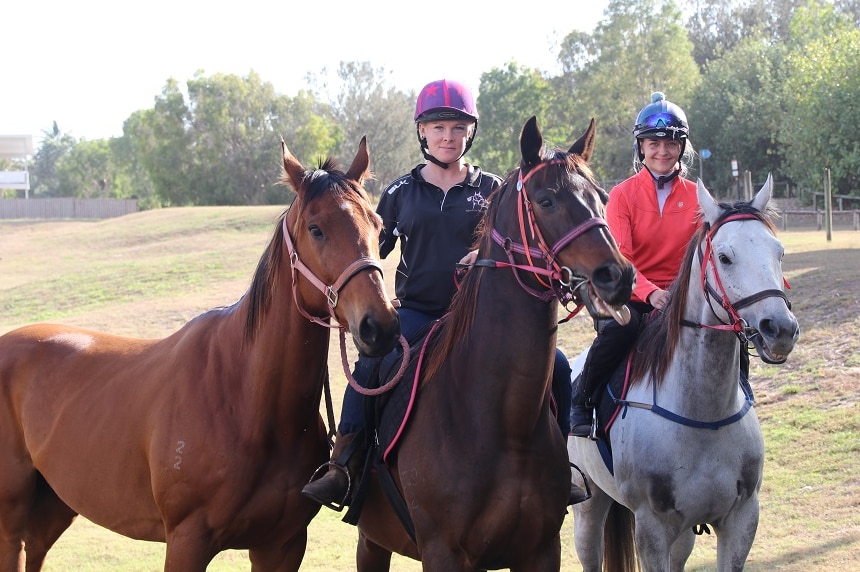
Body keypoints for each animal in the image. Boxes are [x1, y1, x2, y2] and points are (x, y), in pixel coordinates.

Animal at [0, 139, 402, 572]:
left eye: (378, 226)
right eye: (316, 228)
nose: (379, 325)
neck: (245, 400)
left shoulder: (282, 545)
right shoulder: (187, 542)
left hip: (54, 507)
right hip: (12, 515)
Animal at [352, 117, 636, 572]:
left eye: (602, 198)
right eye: (546, 200)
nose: (619, 276)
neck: (500, 423)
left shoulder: (541, 551)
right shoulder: (443, 553)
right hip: (372, 541)